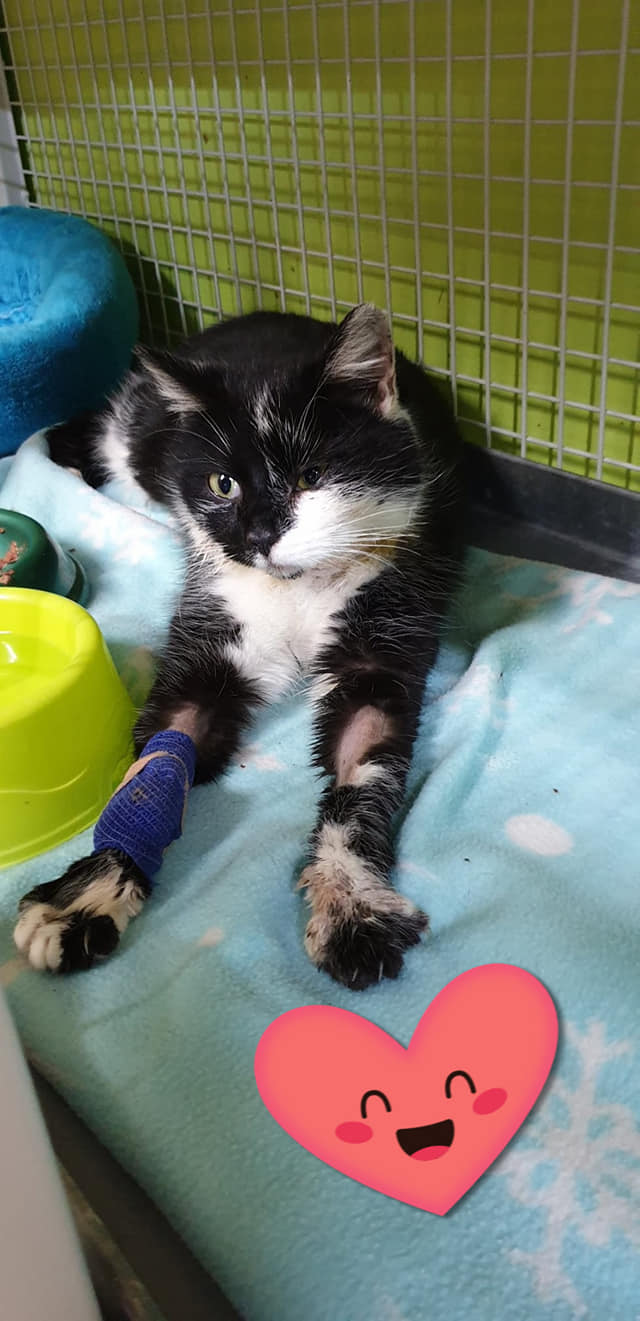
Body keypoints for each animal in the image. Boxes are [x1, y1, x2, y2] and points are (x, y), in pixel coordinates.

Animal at [14, 304, 464, 990]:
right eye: (222, 483)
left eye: (311, 477)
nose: (256, 536)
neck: (300, 590)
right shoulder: (213, 624)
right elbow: (155, 765)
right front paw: (82, 899)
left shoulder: (388, 625)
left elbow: (363, 768)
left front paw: (351, 907)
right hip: (135, 431)